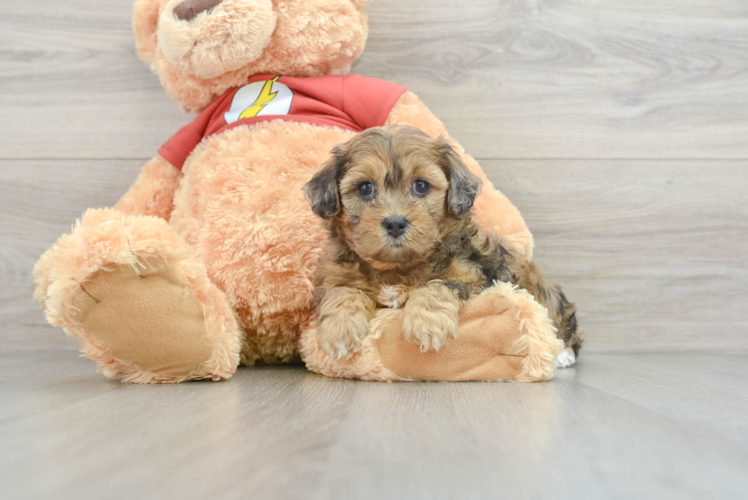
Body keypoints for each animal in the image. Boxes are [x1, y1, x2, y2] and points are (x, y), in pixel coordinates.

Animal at [302, 124, 580, 360]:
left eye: (421, 186)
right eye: (364, 188)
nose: (395, 223)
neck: (396, 268)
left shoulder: (474, 275)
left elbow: (436, 285)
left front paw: (426, 324)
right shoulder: (334, 276)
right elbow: (342, 292)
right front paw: (338, 332)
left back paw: (563, 355)